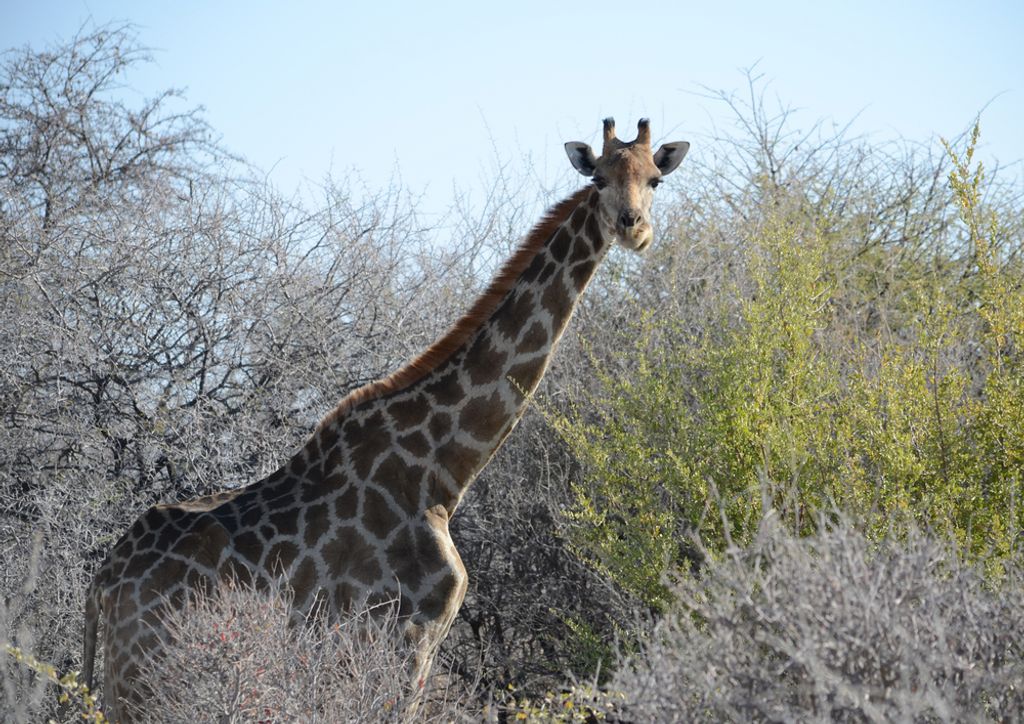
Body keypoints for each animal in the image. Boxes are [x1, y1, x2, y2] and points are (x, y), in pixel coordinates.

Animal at [82, 118, 689, 720]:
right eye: (599, 179)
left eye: (655, 180)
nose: (634, 229)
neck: (444, 472)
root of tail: (105, 578)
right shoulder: (405, 636)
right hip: (148, 677)